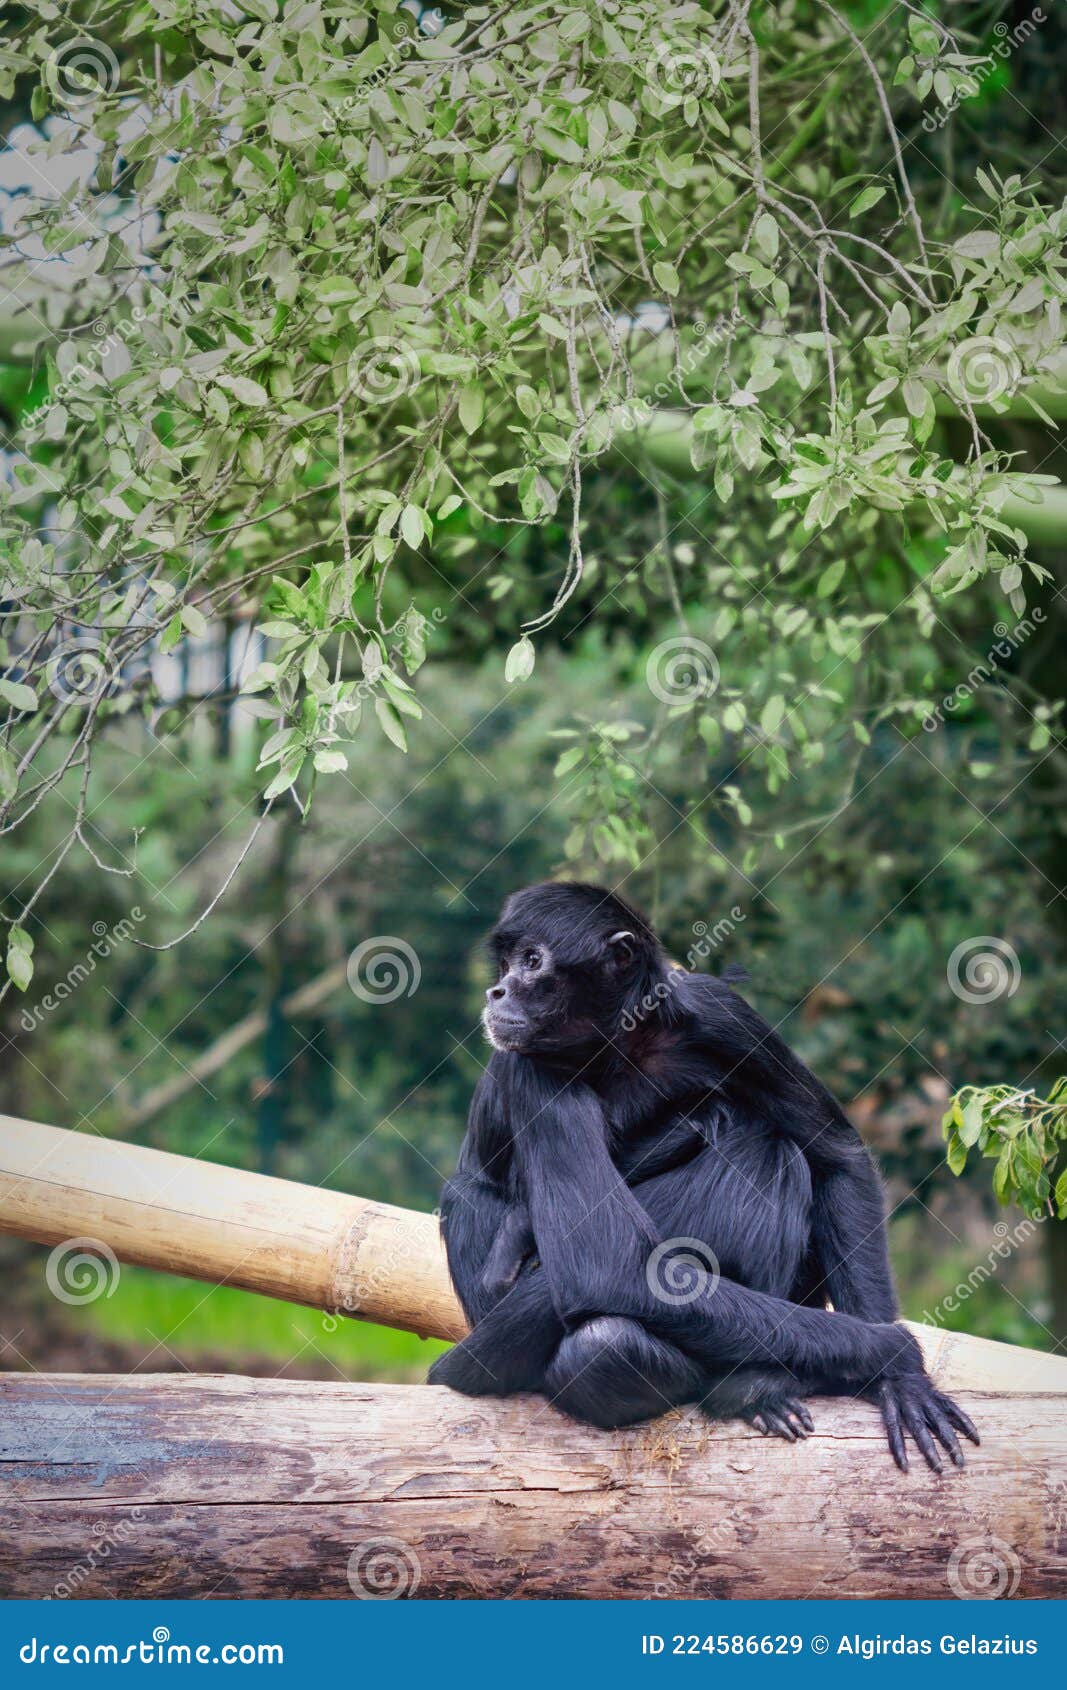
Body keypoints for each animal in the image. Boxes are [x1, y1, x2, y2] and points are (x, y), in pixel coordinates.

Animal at [429, 885, 980, 1466]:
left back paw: (760, 1383)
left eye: (532, 962)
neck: (620, 1044)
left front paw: (899, 1384)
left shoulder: (718, 1012)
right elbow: (608, 1265)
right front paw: (889, 1352)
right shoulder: (529, 1064)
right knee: (601, 1337)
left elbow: (838, 1156)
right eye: (508, 964)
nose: (497, 990)